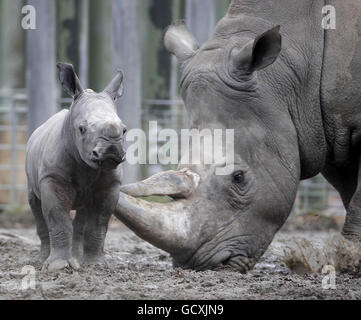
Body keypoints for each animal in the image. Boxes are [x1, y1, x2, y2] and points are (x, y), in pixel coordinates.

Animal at [26, 63, 126, 272]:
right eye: (82, 129)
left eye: (124, 130)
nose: (111, 150)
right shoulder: (52, 178)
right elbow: (58, 219)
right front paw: (58, 266)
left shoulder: (111, 184)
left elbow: (98, 223)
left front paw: (95, 265)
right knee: (35, 206)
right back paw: (42, 261)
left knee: (83, 216)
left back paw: (78, 259)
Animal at [114, 0, 360, 272]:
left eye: (239, 178)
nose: (200, 264)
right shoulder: (325, 129)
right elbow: (348, 189)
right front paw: (351, 258)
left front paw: (349, 259)